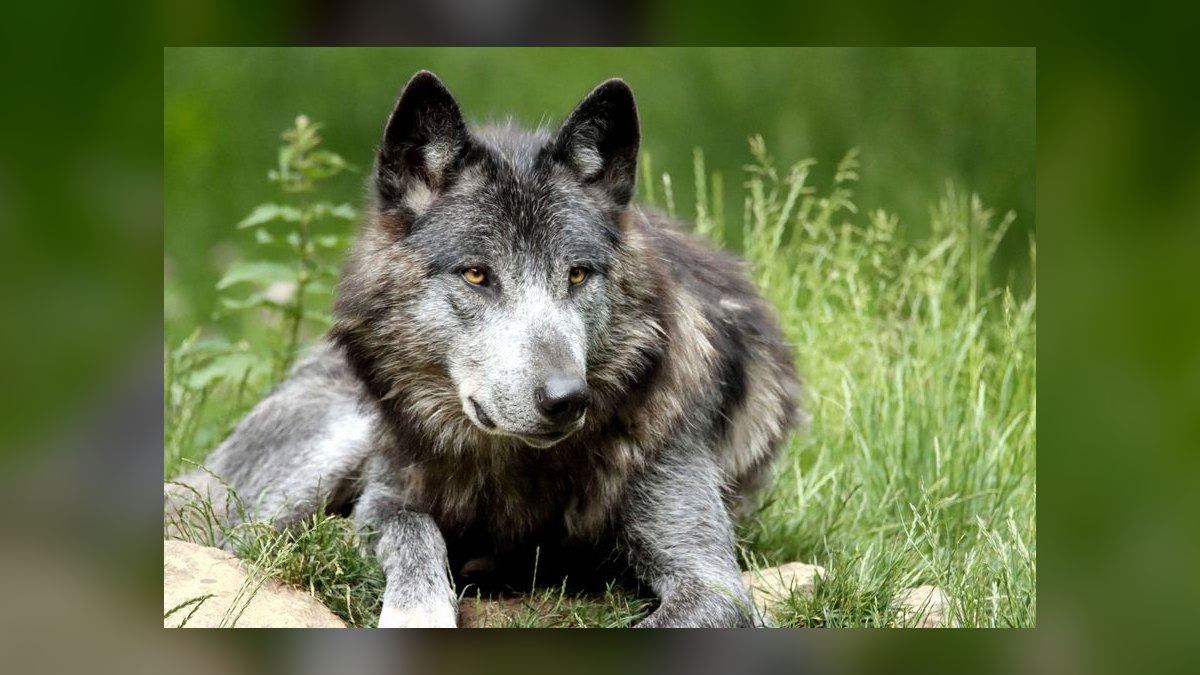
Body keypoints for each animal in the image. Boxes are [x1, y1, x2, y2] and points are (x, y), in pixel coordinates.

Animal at [166, 71, 801, 628]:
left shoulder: (714, 583)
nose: (567, 399)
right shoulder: (383, 503)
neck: (519, 472)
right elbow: (414, 531)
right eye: (476, 275)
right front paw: (417, 613)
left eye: (577, 274)